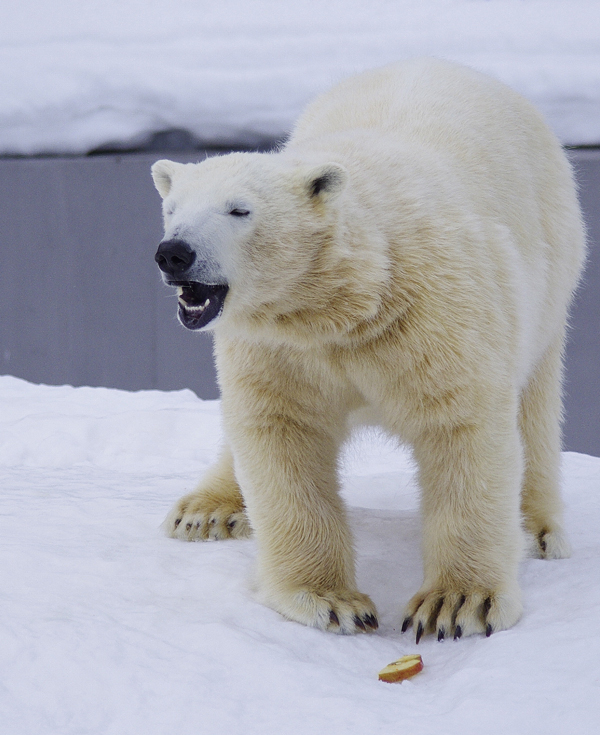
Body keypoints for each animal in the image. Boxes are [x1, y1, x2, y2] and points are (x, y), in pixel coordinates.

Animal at [151, 60, 584, 640]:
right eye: (171, 209)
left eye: (239, 210)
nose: (174, 253)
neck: (349, 301)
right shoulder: (278, 348)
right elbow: (280, 433)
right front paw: (331, 601)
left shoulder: (435, 316)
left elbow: (462, 428)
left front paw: (457, 604)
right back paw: (205, 510)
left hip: (550, 268)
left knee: (535, 406)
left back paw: (538, 529)